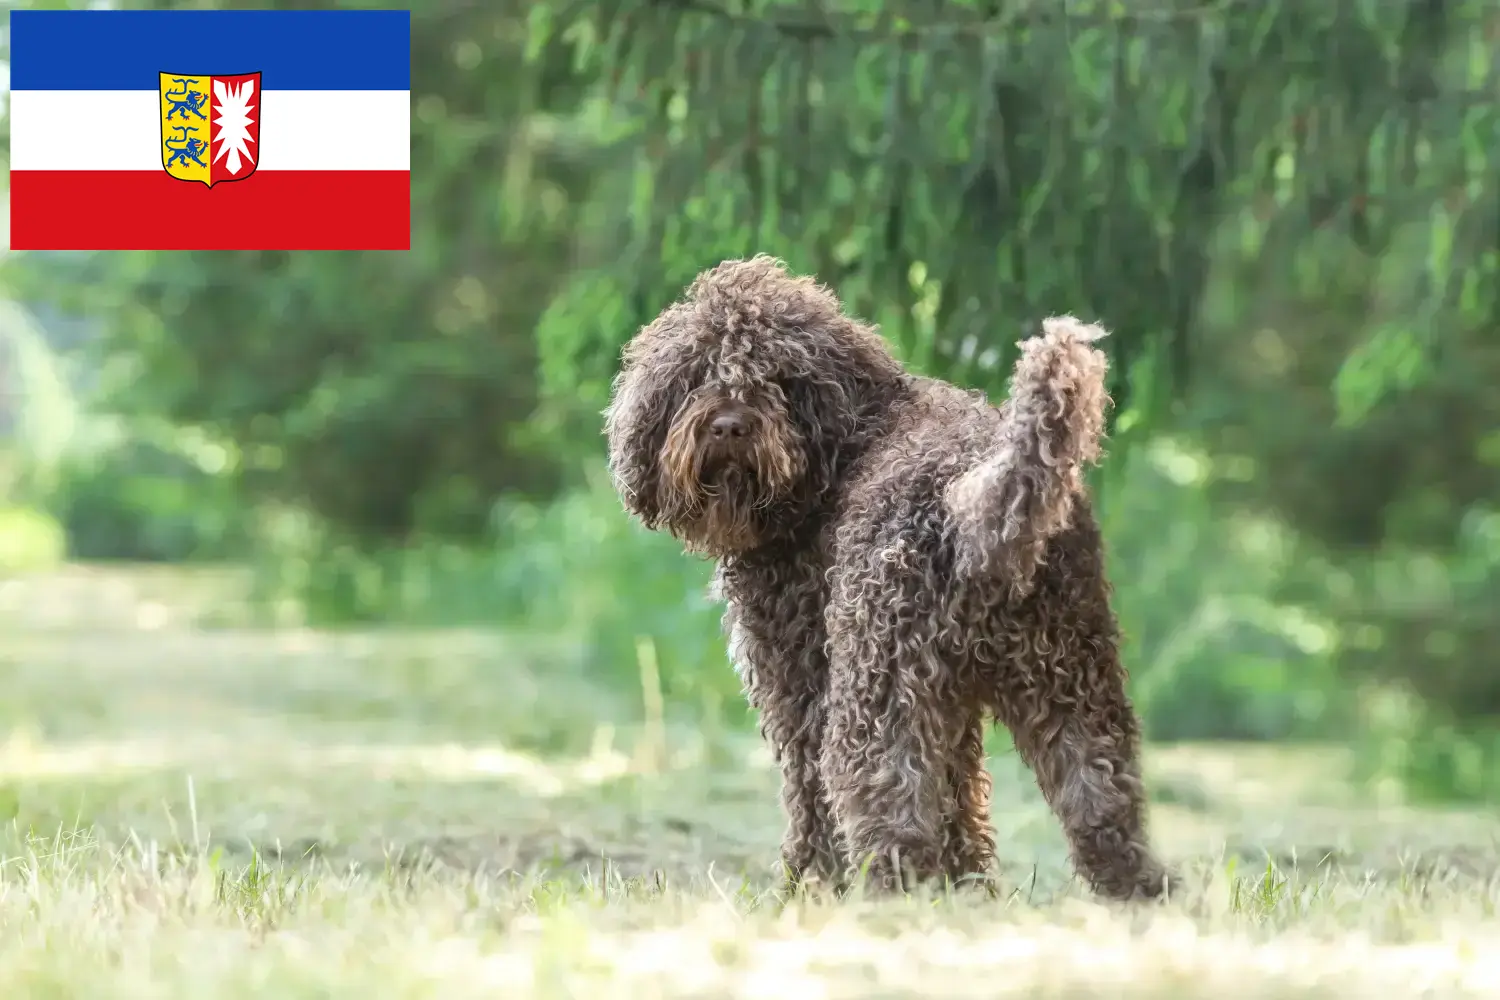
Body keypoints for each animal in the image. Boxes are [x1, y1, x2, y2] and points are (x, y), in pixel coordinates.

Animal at [606, 256, 1170, 899]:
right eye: (699, 375)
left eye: (775, 376)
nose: (727, 426)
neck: (837, 456)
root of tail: (977, 500)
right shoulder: (948, 700)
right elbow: (957, 795)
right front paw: (964, 886)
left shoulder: (801, 682)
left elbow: (812, 795)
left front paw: (811, 885)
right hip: (1069, 678)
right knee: (1102, 795)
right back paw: (1135, 896)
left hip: (879, 688)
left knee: (887, 798)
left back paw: (886, 898)